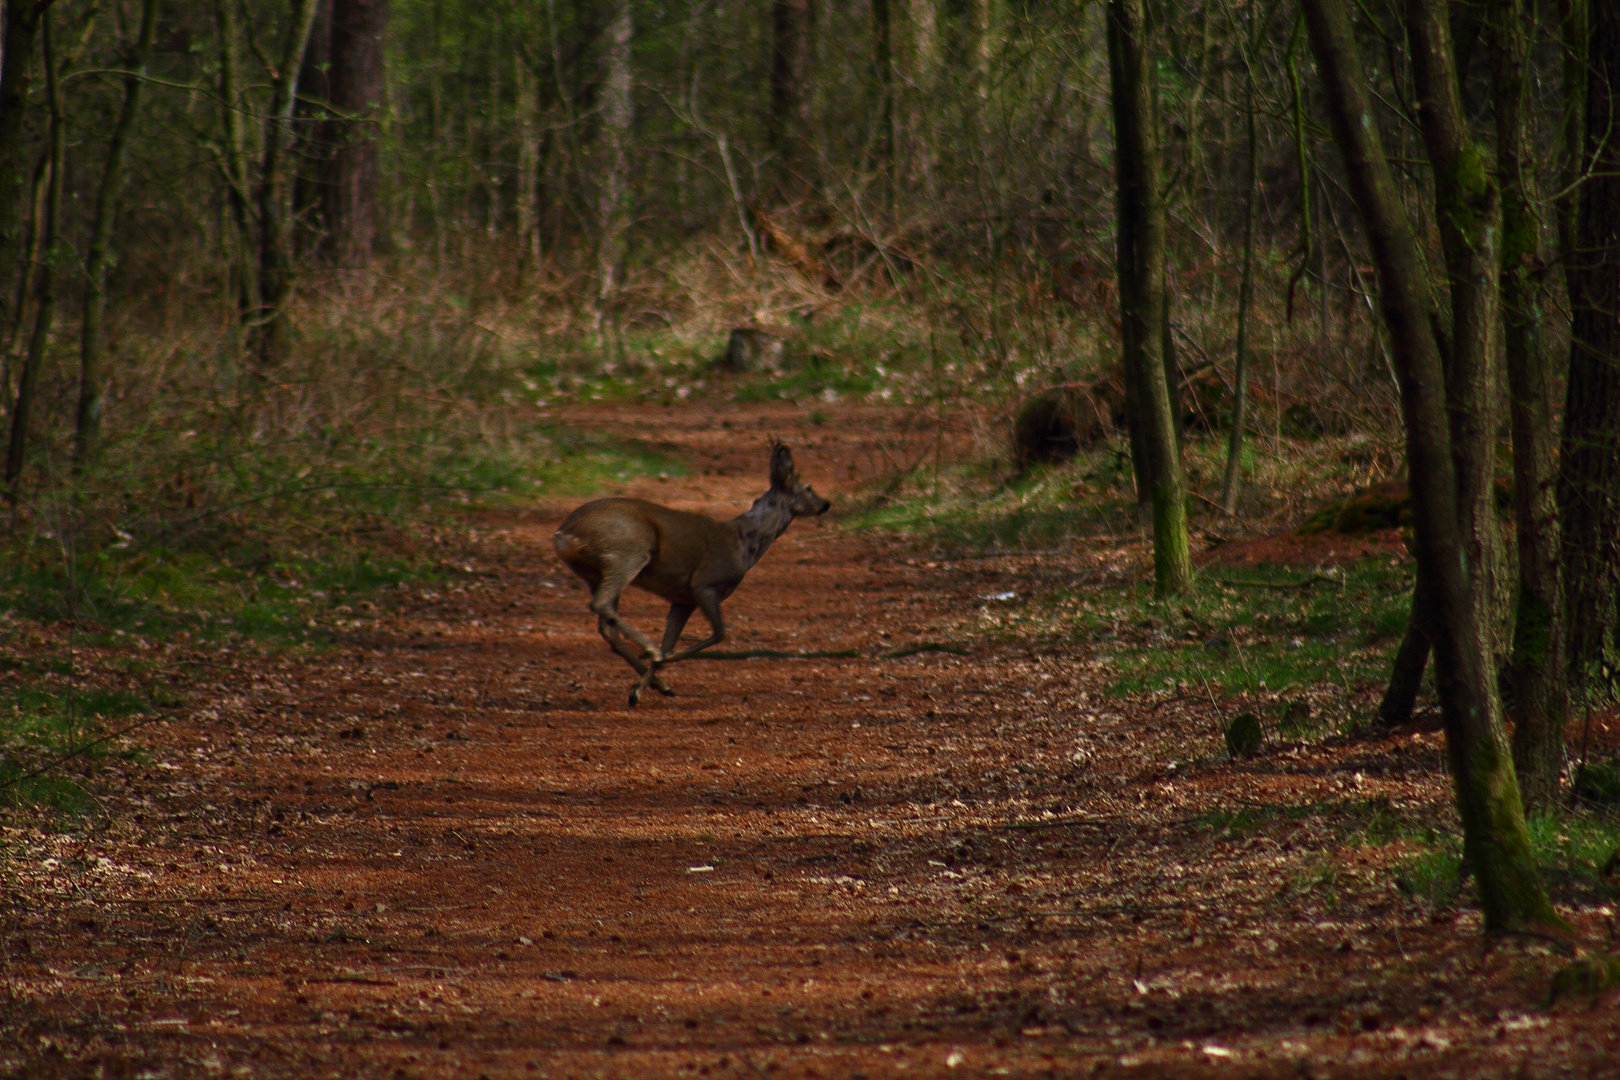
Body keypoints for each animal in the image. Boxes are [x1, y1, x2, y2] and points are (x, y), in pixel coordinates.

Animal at [557, 440, 835, 705]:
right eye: (808, 487)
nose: (826, 504)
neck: (744, 544)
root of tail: (564, 533)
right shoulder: (705, 583)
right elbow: (718, 633)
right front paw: (663, 661)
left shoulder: (682, 599)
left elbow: (670, 639)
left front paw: (639, 691)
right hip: (626, 552)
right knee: (602, 604)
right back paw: (651, 651)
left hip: (594, 571)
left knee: (607, 624)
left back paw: (661, 684)